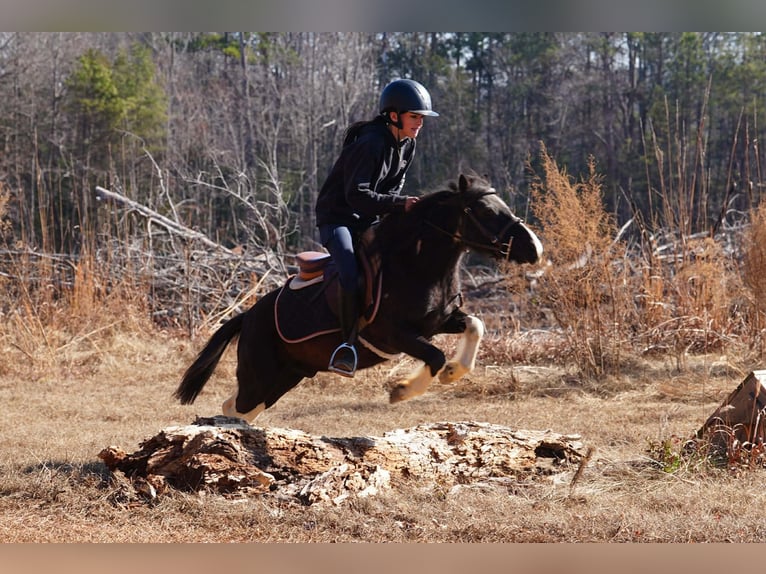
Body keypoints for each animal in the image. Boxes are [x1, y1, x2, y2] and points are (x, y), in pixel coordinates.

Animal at [175, 173, 543, 422]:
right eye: (485, 211)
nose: (535, 248)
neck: (416, 263)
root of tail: (248, 316)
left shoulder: (440, 321)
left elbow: (475, 326)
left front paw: (453, 372)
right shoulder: (396, 335)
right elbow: (435, 356)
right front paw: (402, 391)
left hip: (288, 375)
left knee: (240, 408)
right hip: (262, 373)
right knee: (239, 407)